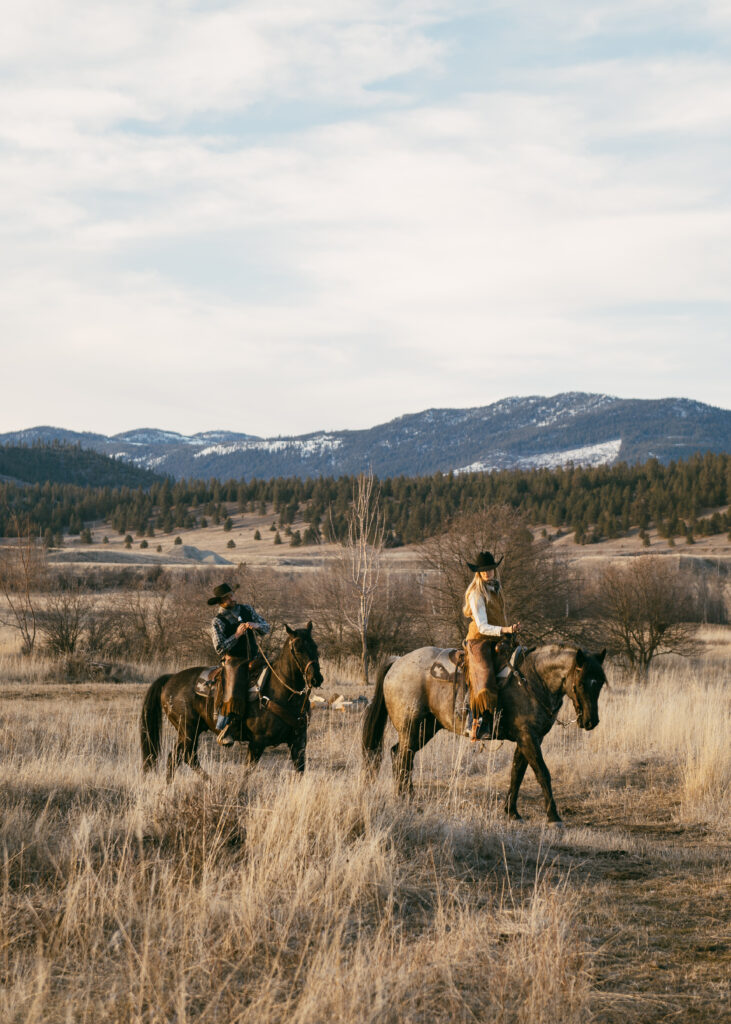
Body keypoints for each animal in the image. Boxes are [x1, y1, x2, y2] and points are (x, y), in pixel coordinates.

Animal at [141, 618, 323, 778]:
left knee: (177, 758)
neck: (283, 694)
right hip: (188, 730)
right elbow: (246, 773)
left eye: (315, 647)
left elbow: (300, 772)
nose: (316, 678)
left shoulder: (298, 743)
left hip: (189, 731)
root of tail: (170, 679)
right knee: (186, 757)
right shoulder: (257, 743)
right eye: (298, 649)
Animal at [362, 643, 606, 827]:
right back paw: (406, 800)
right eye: (581, 682)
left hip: (426, 729)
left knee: (400, 755)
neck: (532, 681)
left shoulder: (527, 739)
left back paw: (406, 798)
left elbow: (517, 773)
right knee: (403, 758)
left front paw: (511, 812)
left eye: (600, 683)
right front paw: (554, 817)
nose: (591, 721)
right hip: (412, 728)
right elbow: (542, 773)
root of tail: (398, 662)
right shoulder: (528, 738)